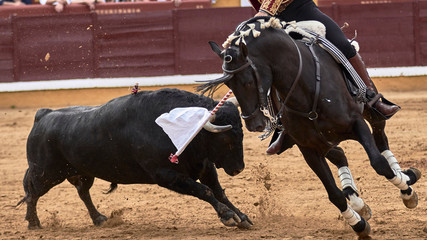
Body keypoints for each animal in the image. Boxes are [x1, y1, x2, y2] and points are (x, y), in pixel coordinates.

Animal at [20, 87, 252, 229]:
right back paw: (33, 223)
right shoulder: (167, 175)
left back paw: (99, 218)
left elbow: (219, 192)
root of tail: (43, 115)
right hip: (47, 173)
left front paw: (242, 217)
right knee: (33, 194)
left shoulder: (204, 167)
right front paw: (228, 216)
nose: (238, 168)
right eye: (226, 139)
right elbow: (205, 191)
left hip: (83, 172)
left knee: (82, 193)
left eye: (241, 133)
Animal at [200, 17, 422, 238]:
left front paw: (408, 191)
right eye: (229, 85)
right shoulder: (308, 148)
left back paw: (405, 177)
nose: (253, 124)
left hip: (370, 114)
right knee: (340, 155)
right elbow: (334, 194)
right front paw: (359, 225)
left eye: (247, 82)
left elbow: (379, 163)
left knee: (380, 138)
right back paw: (359, 203)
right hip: (324, 140)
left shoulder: (357, 124)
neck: (306, 92)